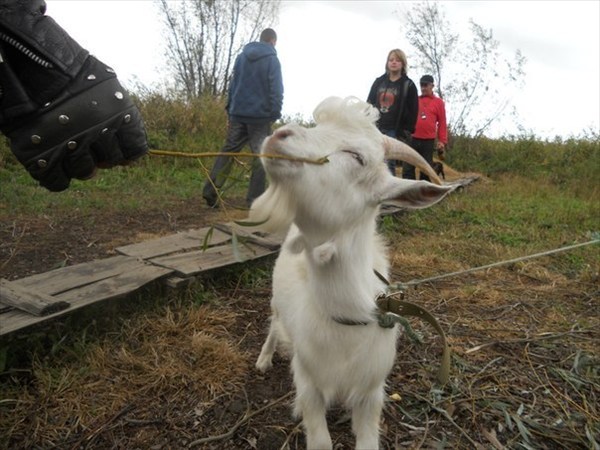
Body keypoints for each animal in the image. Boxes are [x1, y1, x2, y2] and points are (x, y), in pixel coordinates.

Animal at [251, 96, 452, 448]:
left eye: (357, 156)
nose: (279, 135)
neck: (346, 319)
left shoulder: (371, 392)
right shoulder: (309, 381)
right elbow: (320, 440)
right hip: (276, 302)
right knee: (274, 325)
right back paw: (264, 360)